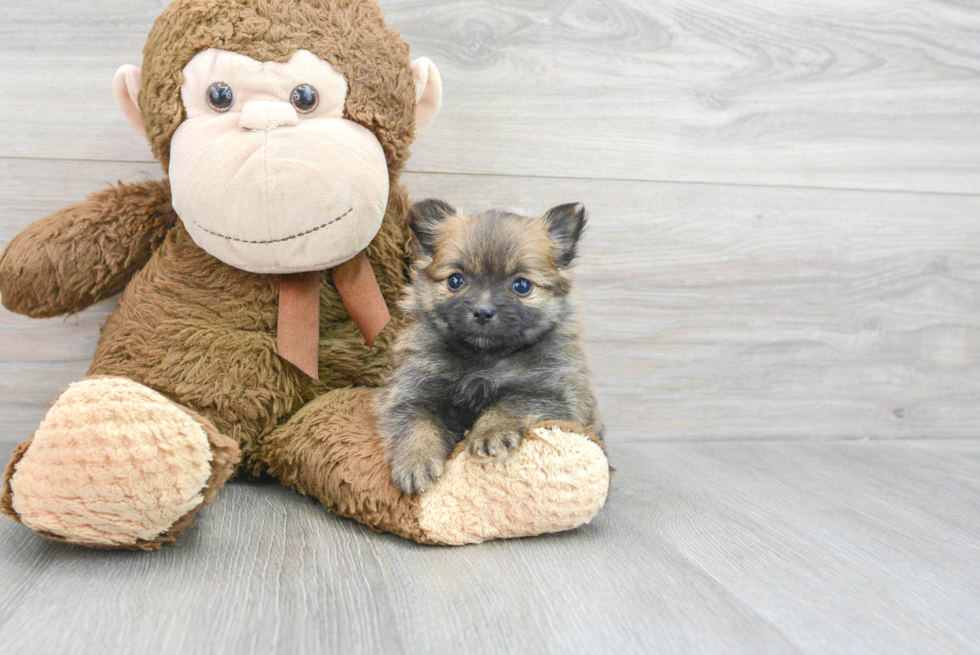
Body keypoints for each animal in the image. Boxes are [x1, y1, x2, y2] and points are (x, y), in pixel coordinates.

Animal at [378, 201, 600, 498]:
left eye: (522, 285)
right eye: (456, 281)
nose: (483, 312)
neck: (482, 358)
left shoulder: (548, 393)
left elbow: (509, 403)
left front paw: (490, 434)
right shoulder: (414, 392)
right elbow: (417, 424)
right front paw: (416, 459)